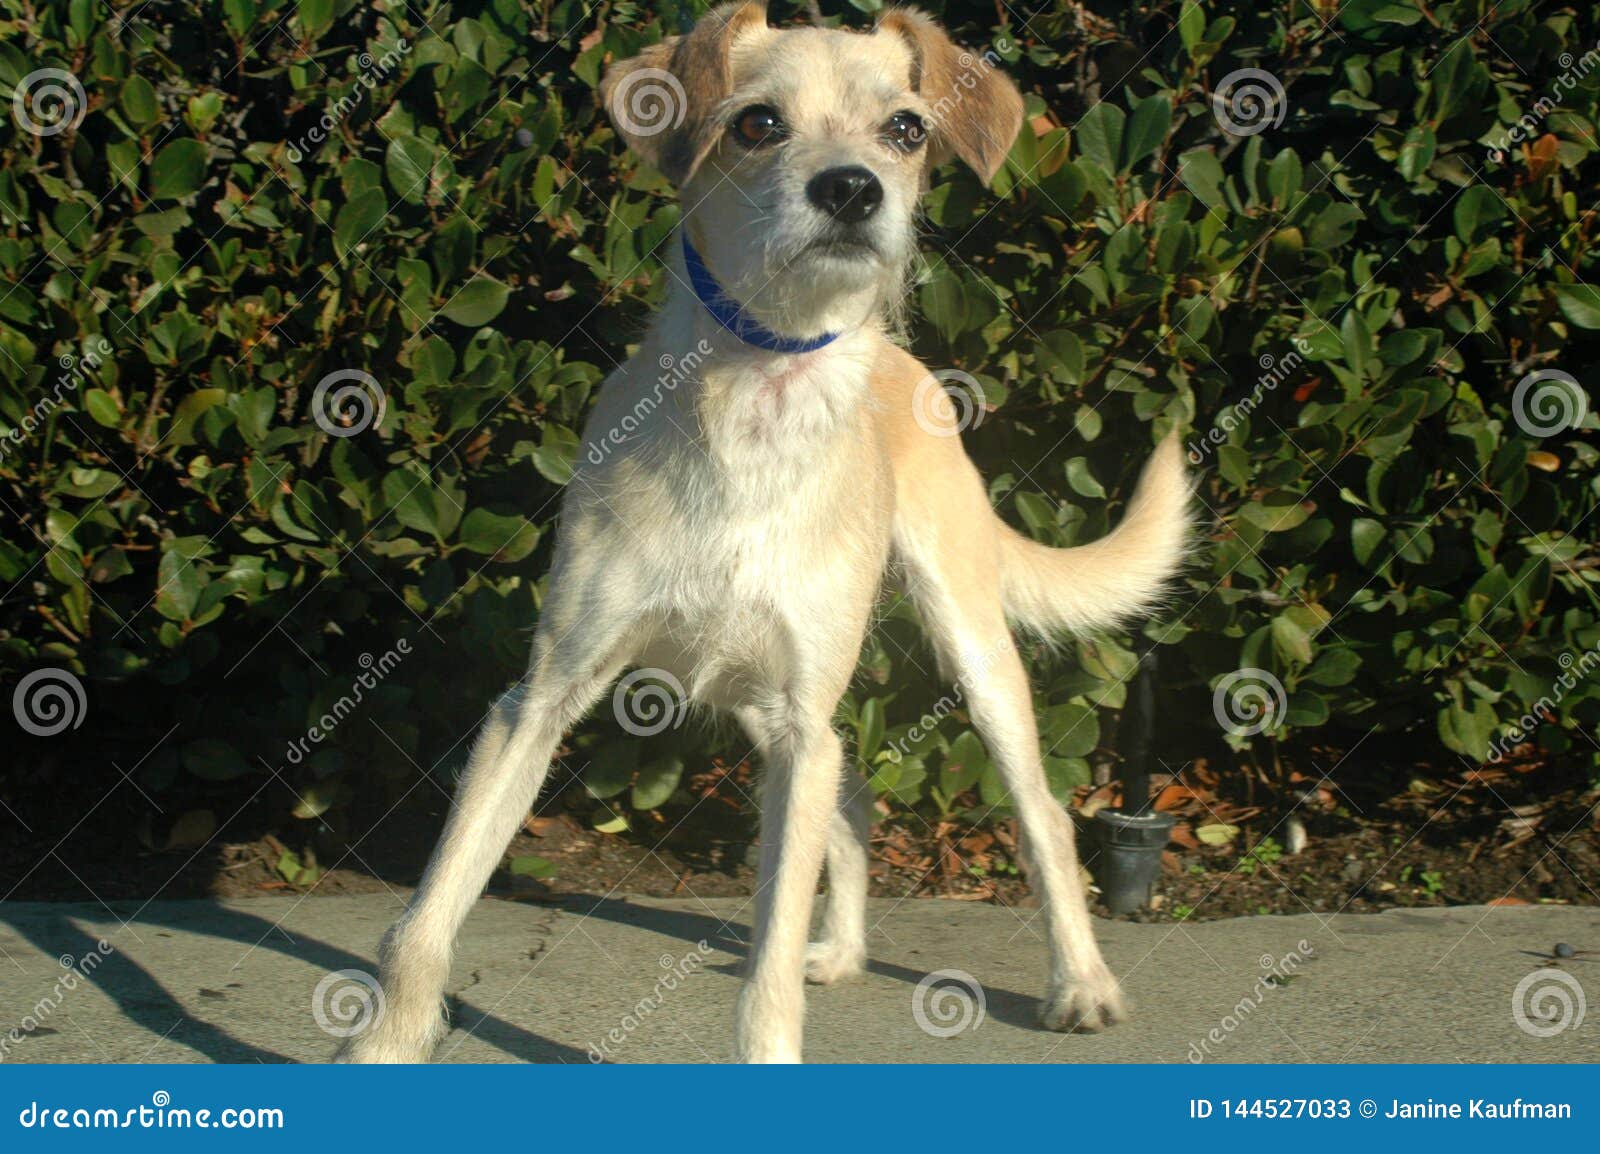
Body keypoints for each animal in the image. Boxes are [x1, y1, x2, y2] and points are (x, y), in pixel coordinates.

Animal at [340, 2, 1190, 1062]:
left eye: (906, 129)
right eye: (756, 124)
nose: (853, 188)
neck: (758, 393)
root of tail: (909, 364)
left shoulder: (797, 727)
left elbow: (768, 961)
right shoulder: (538, 703)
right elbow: (431, 911)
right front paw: (388, 1042)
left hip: (969, 653)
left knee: (1043, 817)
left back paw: (1080, 982)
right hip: (771, 707)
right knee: (856, 803)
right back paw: (847, 950)